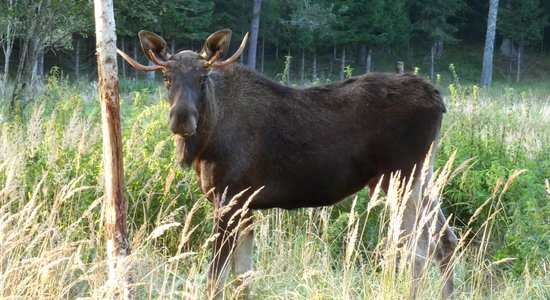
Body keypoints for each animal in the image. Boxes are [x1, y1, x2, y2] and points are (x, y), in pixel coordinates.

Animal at [119, 28, 462, 300]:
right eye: (167, 78)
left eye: (203, 78)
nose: (182, 119)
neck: (206, 140)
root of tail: (438, 99)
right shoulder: (246, 206)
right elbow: (243, 278)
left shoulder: (229, 200)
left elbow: (216, 280)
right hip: (418, 178)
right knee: (445, 240)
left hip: (401, 178)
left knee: (416, 250)